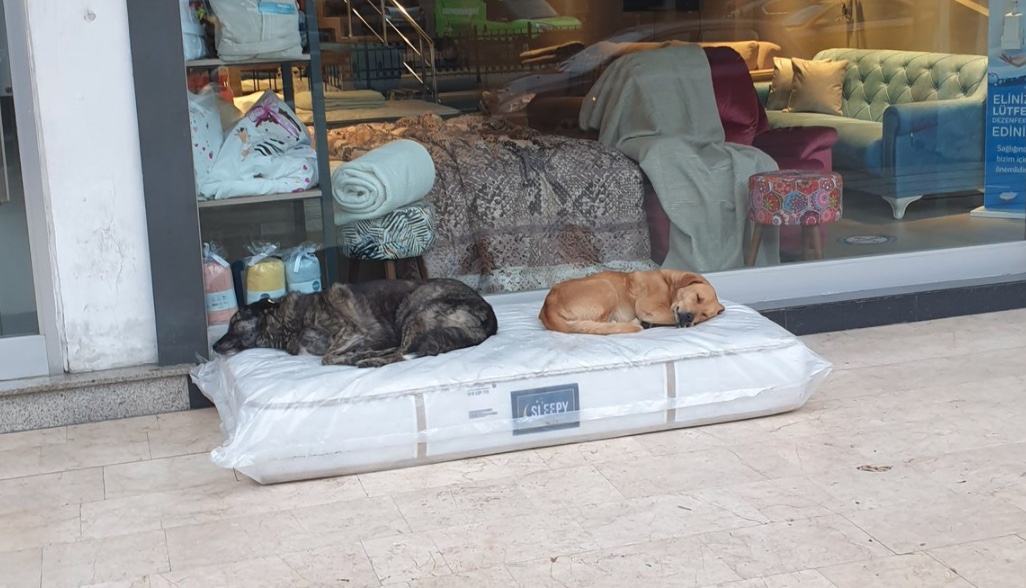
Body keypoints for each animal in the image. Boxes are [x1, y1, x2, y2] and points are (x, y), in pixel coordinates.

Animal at [212, 277, 496, 367]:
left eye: (234, 322)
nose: (213, 346)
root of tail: (489, 316)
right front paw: (354, 354)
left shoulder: (350, 330)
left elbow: (328, 357)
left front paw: (349, 357)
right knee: (399, 350)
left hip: (416, 309)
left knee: (402, 353)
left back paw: (368, 361)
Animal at [541, 270, 726, 334]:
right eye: (698, 297)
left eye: (704, 315)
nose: (689, 318)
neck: (669, 285)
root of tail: (547, 307)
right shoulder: (648, 308)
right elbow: (669, 316)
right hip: (606, 286)